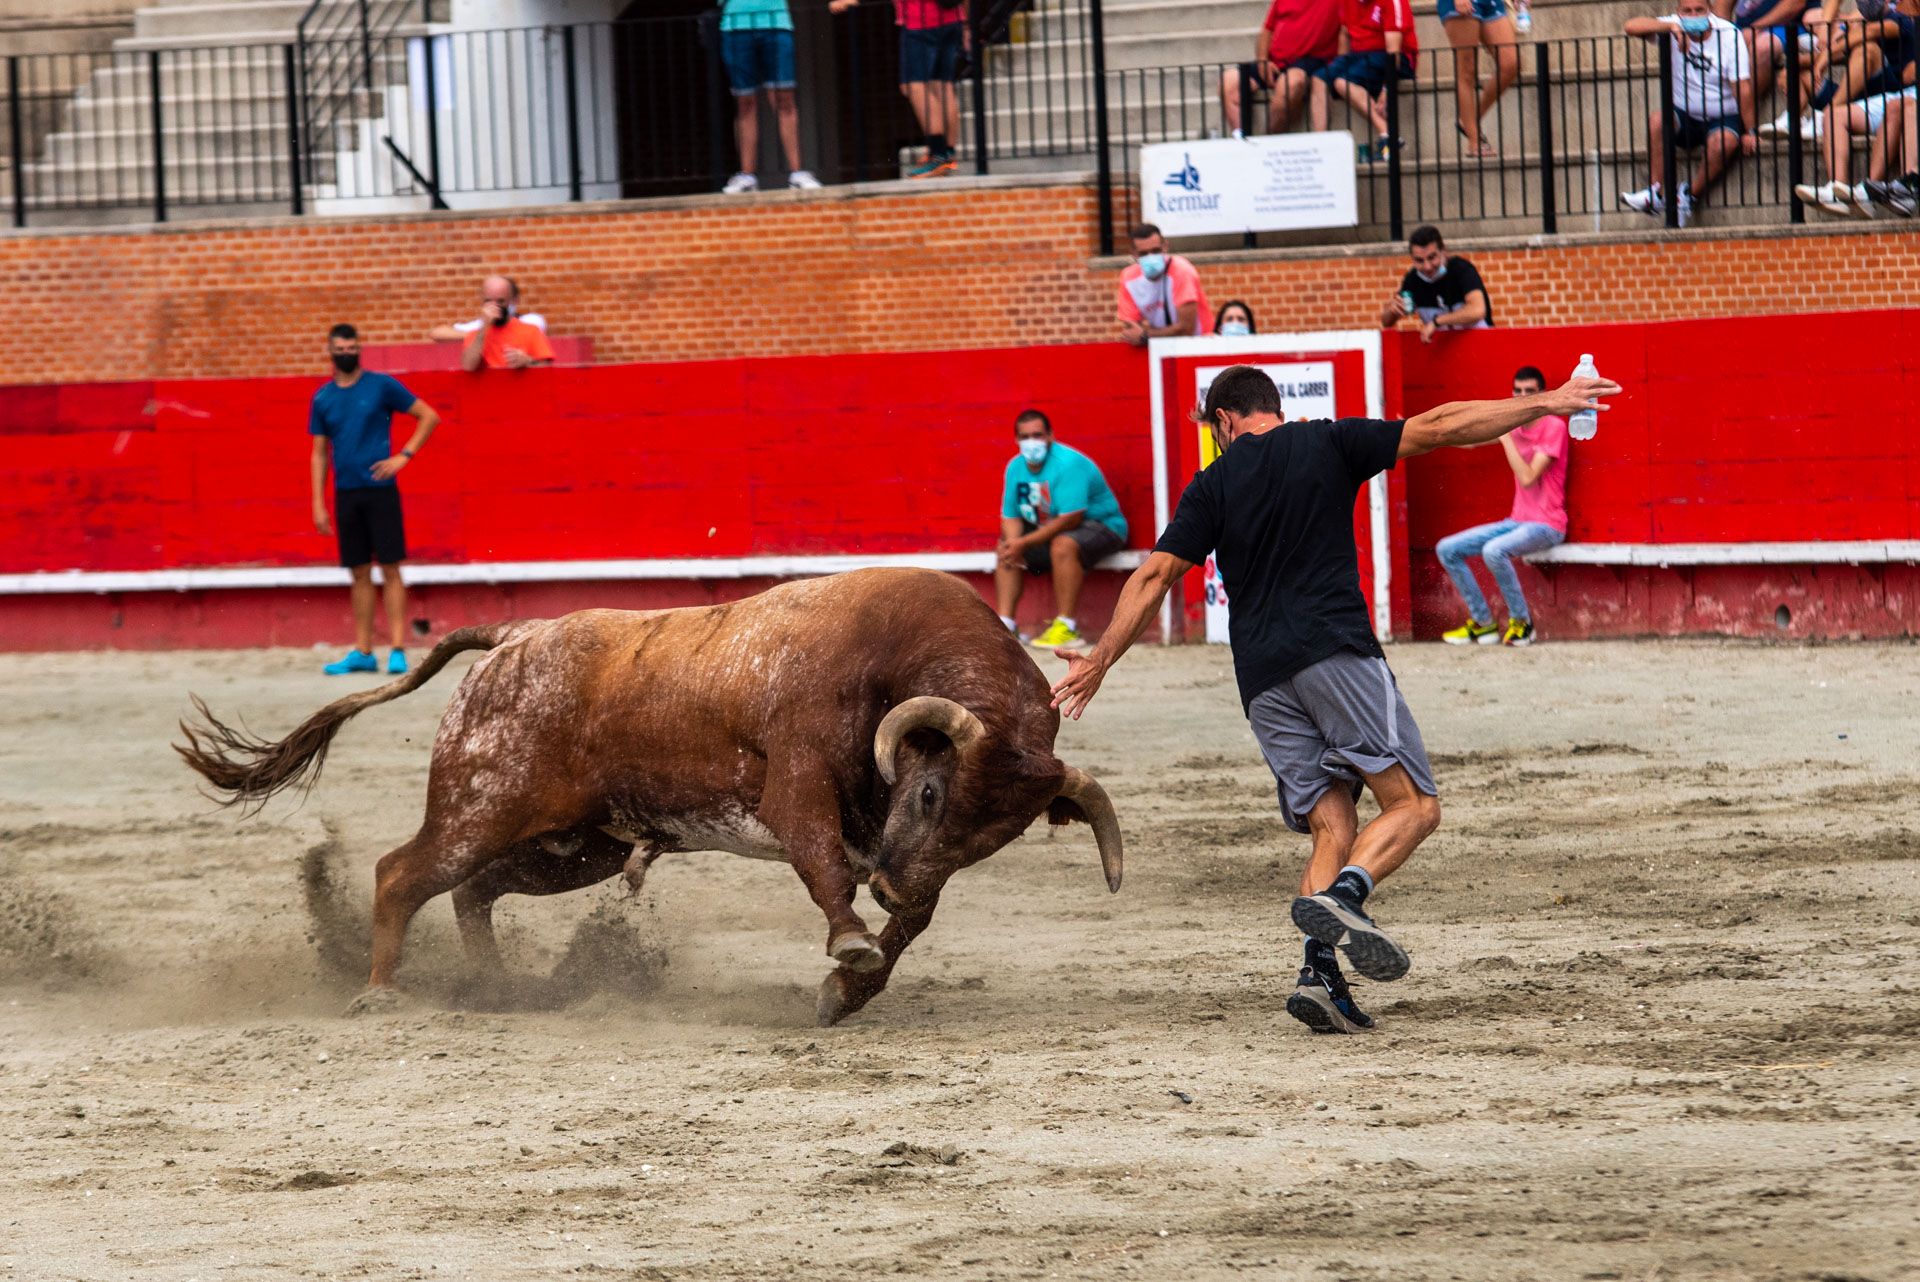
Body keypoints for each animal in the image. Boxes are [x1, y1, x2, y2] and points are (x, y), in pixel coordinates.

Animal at [176, 568, 1121, 1020]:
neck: (897, 655)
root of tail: (517, 635)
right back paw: (381, 994)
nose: (894, 884)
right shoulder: (797, 789)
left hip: (571, 847)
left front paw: (847, 990)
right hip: (481, 805)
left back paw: (496, 987)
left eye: (989, 840)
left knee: (474, 892)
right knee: (403, 874)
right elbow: (825, 867)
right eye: (927, 794)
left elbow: (910, 927)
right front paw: (850, 946)